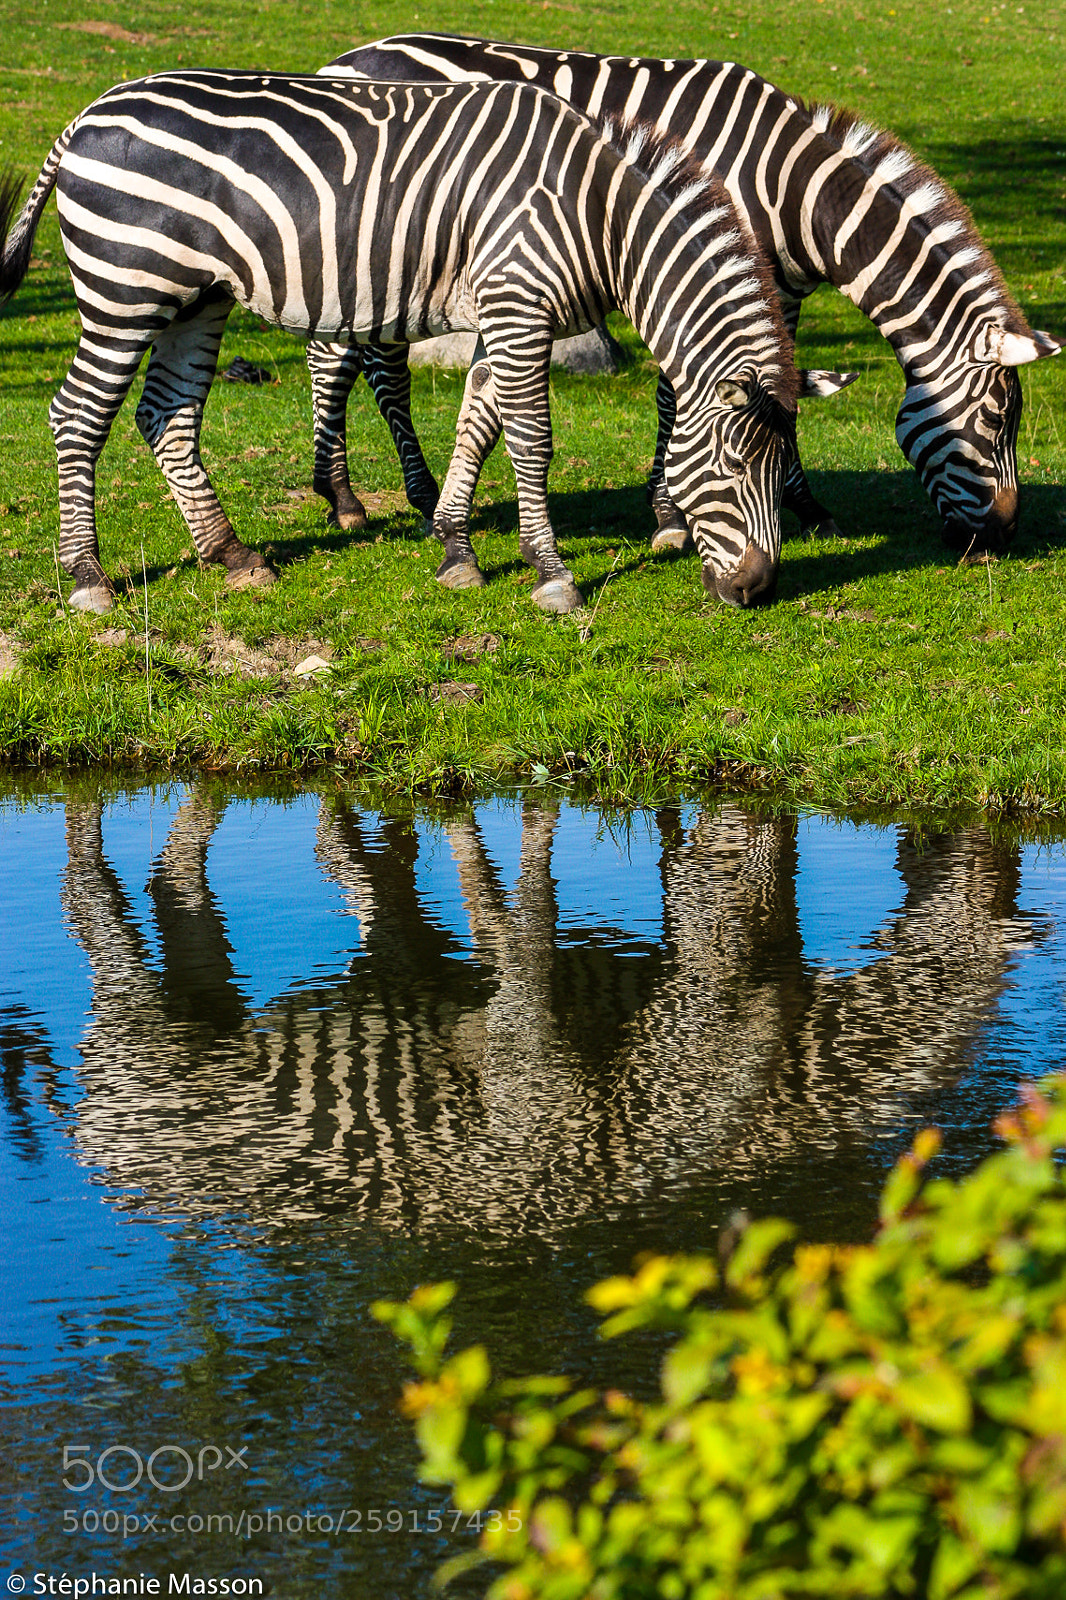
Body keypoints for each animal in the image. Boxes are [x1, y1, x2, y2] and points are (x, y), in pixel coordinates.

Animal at [0, 71, 821, 615]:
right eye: (732, 465)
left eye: (782, 468)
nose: (757, 590)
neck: (600, 218)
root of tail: (86, 115)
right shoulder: (518, 307)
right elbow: (531, 440)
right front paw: (552, 572)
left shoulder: (505, 315)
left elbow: (477, 425)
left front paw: (456, 548)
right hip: (125, 284)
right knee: (77, 416)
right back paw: (87, 578)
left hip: (195, 296)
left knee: (165, 418)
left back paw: (231, 556)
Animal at [312, 34, 1061, 560]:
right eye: (997, 423)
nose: (1000, 539)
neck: (789, 193)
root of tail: (344, 59)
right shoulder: (706, 271)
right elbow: (682, 395)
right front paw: (675, 516)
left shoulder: (771, 291)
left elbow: (774, 389)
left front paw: (797, 504)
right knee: (349, 362)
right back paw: (357, 496)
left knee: (358, 359)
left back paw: (366, 493)